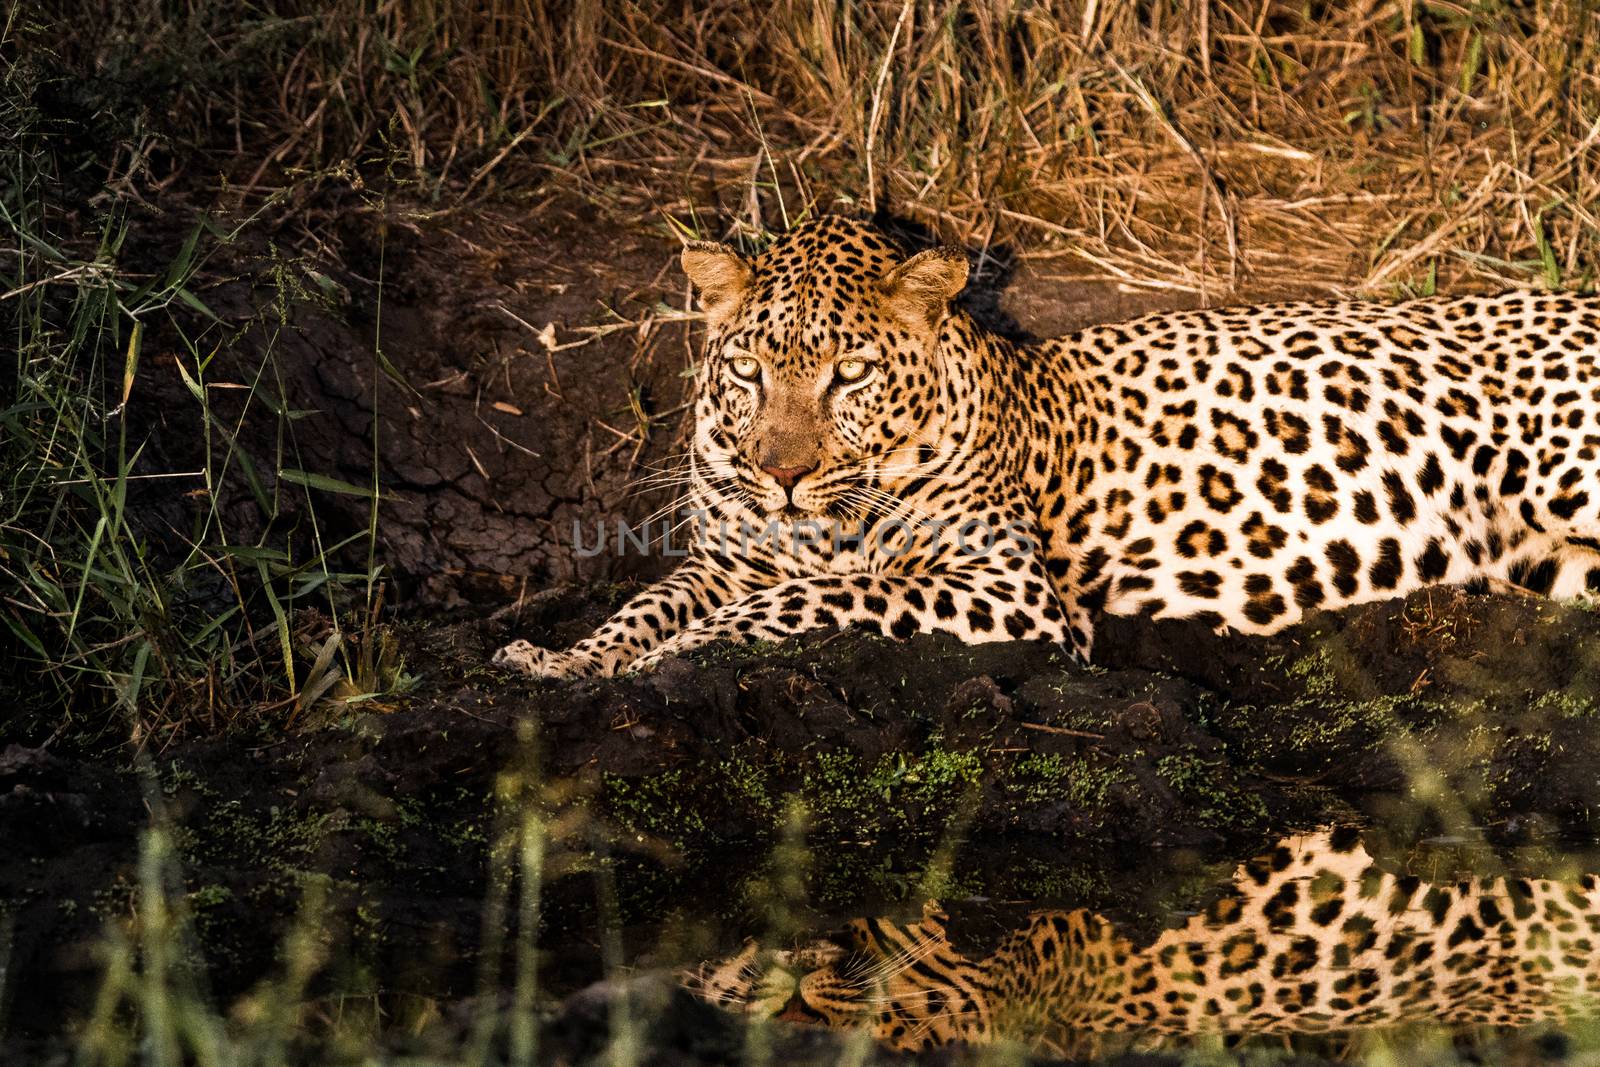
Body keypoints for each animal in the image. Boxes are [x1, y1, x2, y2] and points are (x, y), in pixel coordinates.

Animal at [492, 214, 1600, 681]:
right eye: (750, 371)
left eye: (849, 374)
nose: (784, 473)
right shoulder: (724, 558)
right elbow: (645, 603)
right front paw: (559, 658)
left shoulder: (1008, 590)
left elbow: (808, 601)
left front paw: (660, 659)